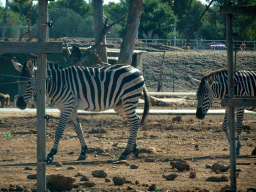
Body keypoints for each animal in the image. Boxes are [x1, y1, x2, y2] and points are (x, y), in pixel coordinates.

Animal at [13, 60, 150, 164]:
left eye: (29, 82)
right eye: (18, 82)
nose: (19, 104)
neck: (58, 84)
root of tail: (135, 69)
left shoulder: (67, 106)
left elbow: (59, 131)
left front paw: (51, 154)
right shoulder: (71, 108)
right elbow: (79, 129)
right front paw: (83, 151)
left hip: (129, 99)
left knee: (134, 121)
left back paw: (125, 152)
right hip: (120, 104)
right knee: (134, 121)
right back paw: (133, 149)